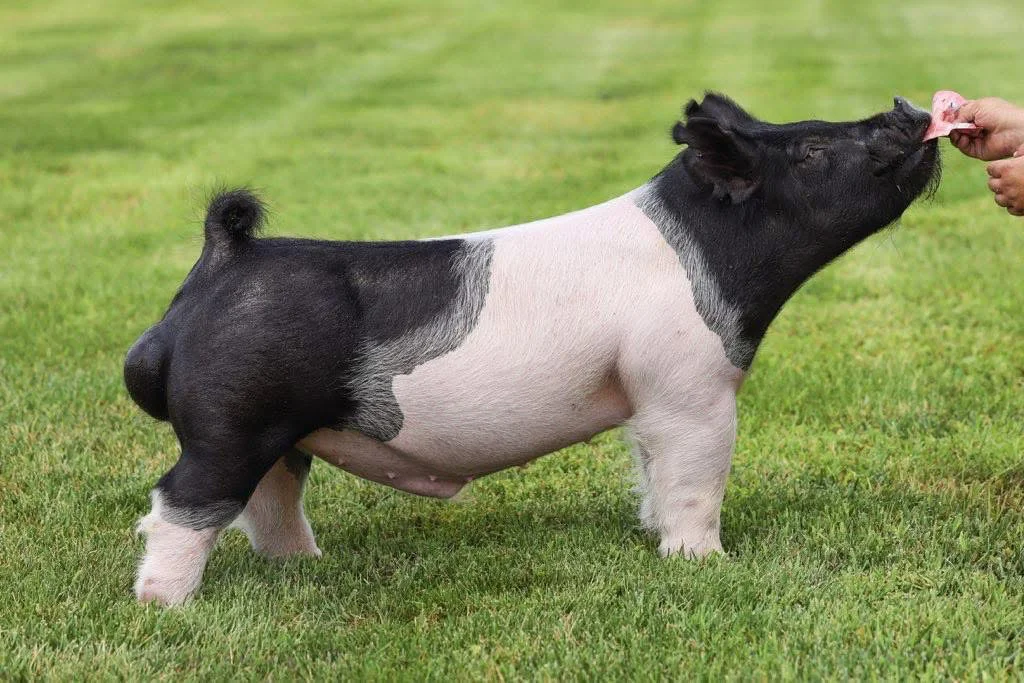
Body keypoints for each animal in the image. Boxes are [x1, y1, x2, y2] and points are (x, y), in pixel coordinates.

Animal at [125, 94, 940, 605]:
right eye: (812, 149)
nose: (913, 110)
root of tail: (223, 260)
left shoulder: (646, 399)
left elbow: (650, 469)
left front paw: (655, 537)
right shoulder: (690, 386)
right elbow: (695, 478)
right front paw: (704, 563)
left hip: (279, 429)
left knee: (272, 497)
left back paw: (304, 566)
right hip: (230, 420)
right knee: (180, 503)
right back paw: (166, 606)